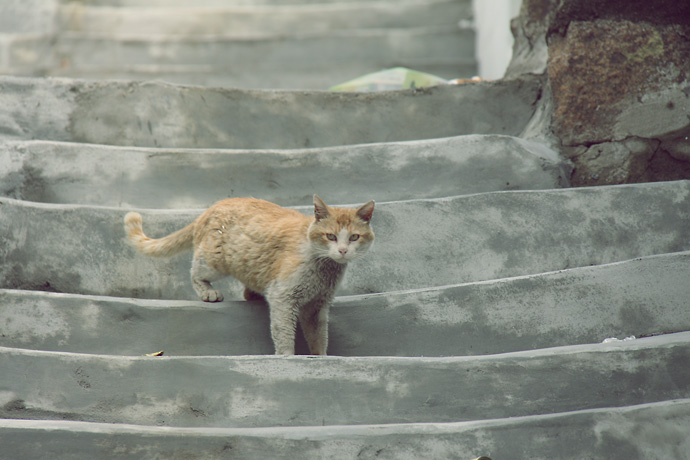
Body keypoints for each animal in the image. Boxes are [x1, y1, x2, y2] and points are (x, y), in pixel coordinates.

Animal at [123, 194, 370, 356]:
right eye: (331, 236)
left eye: (354, 237)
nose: (343, 251)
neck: (324, 268)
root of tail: (211, 207)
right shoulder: (283, 298)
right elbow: (284, 333)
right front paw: (287, 357)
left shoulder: (317, 306)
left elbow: (319, 337)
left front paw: (321, 357)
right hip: (215, 261)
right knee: (195, 272)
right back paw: (208, 292)